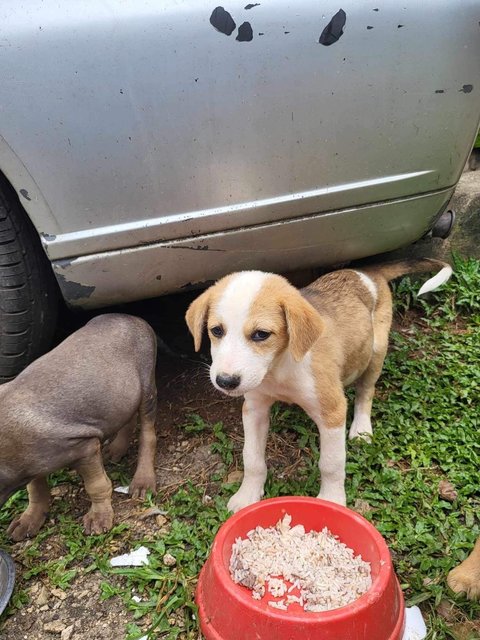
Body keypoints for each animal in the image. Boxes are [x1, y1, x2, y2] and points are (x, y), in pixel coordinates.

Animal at [0, 314, 158, 540]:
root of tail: (132, 316)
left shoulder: (84, 447)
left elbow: (96, 485)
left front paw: (99, 518)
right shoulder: (30, 464)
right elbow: (36, 489)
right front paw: (29, 519)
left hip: (147, 384)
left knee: (147, 433)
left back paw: (143, 481)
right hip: (122, 396)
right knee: (127, 419)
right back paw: (116, 449)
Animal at [186, 258, 452, 512]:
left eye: (261, 334)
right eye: (216, 331)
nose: (225, 381)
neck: (279, 368)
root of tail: (368, 272)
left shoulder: (332, 412)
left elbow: (331, 463)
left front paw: (332, 500)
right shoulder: (254, 408)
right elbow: (251, 457)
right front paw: (247, 494)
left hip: (376, 350)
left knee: (366, 391)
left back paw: (361, 427)